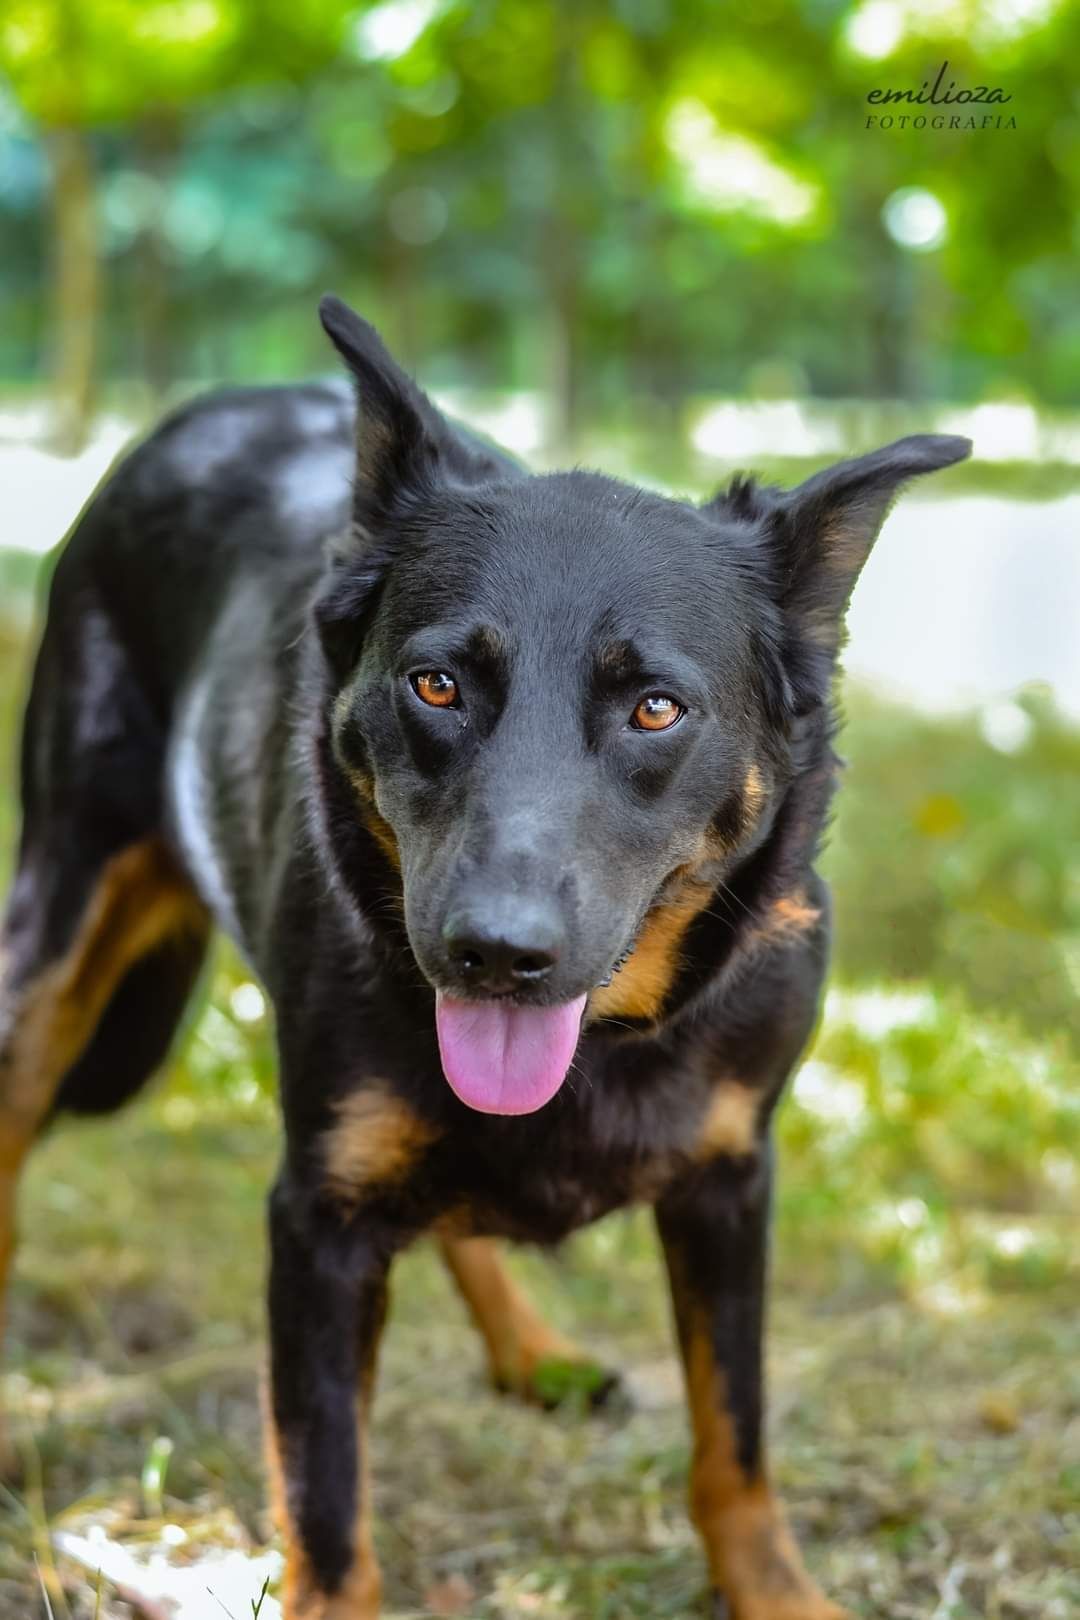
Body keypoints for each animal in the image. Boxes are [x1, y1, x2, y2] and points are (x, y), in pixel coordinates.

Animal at [0, 294, 971, 1620]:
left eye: (656, 708)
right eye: (436, 684)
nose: (495, 955)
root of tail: (216, 410)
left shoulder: (731, 1183)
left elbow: (736, 1440)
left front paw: (778, 1592)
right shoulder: (318, 1225)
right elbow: (329, 1508)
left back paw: (532, 1351)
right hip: (55, 925)